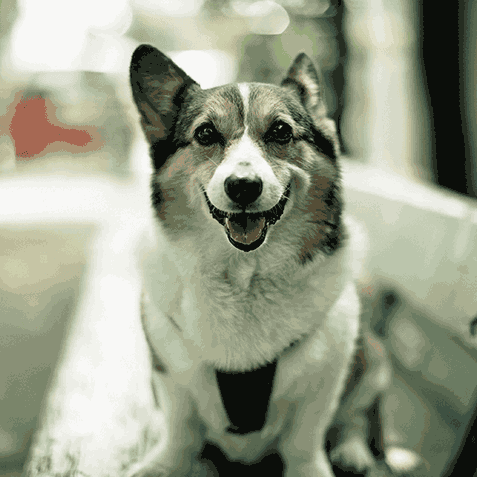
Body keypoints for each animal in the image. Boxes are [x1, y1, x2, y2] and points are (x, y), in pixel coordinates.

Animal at [124, 45, 358, 476]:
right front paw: (165, 464)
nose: (244, 187)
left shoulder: (327, 376)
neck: (244, 276)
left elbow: (305, 439)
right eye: (205, 134)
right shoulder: (171, 373)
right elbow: (181, 430)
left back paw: (354, 450)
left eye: (281, 131)